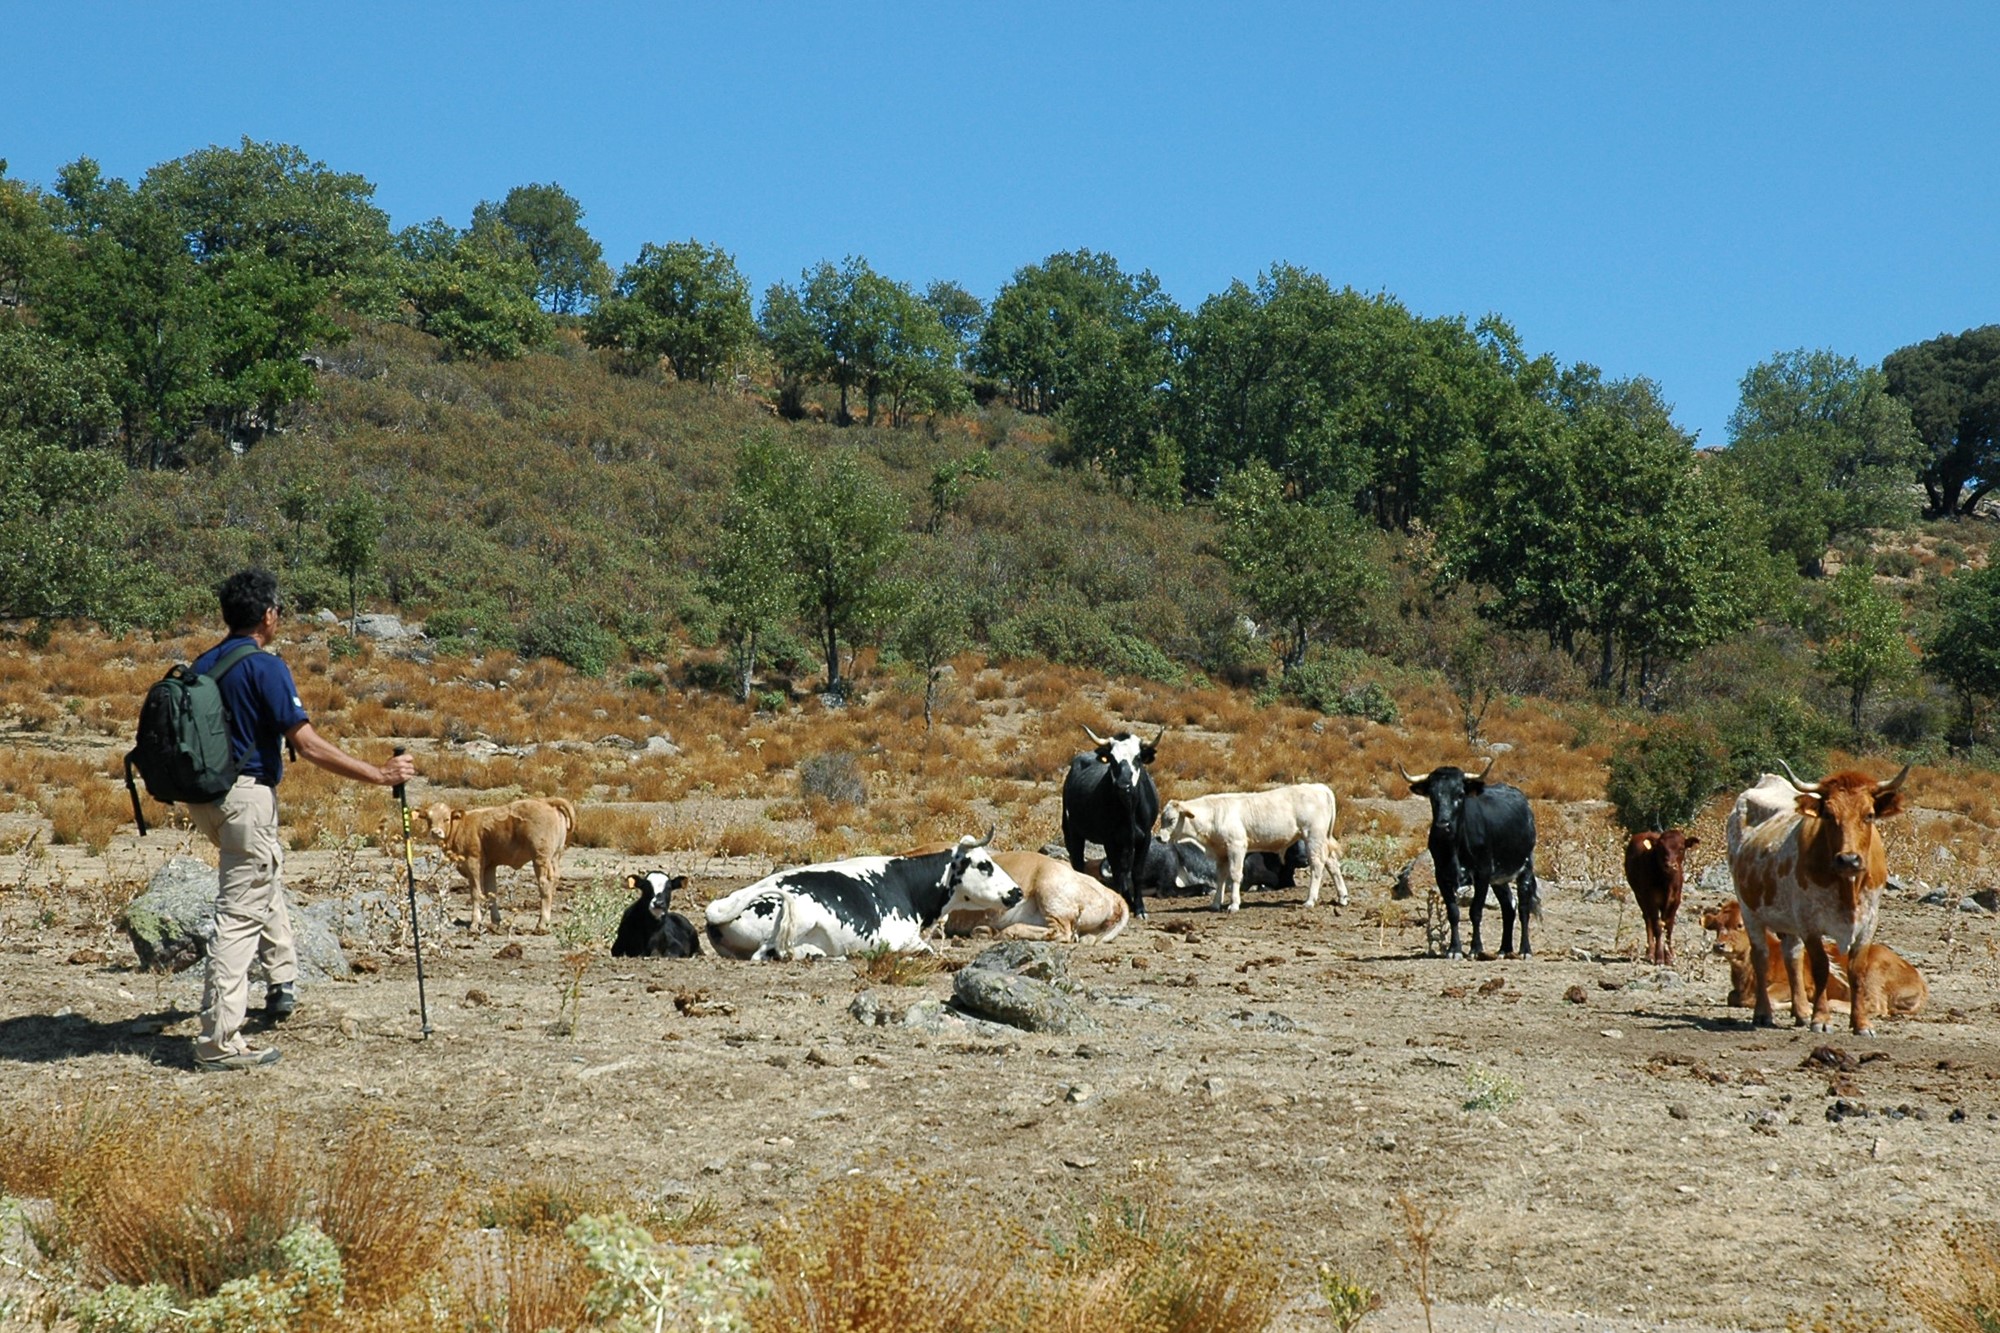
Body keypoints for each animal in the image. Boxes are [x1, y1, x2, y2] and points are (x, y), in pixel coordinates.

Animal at [704, 832, 1024, 956]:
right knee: (772, 952)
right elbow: (926, 951)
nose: (1017, 891)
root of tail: (720, 907)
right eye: (984, 865)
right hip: (797, 914)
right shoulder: (901, 939)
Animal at [1616, 824, 1696, 960]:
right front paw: (1659, 956)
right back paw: (1650, 952)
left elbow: (1668, 926)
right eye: (1660, 848)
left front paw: (1669, 955)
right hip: (1639, 896)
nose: (1670, 865)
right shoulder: (1650, 898)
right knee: (1648, 920)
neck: (1666, 881)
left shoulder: (1675, 900)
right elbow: (1658, 926)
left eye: (1681, 848)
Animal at [1728, 764, 1912, 1032]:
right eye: (1828, 814)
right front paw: (1821, 1019)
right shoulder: (1810, 923)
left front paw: (1861, 1023)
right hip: (1749, 910)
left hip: (1788, 920)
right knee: (1761, 957)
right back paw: (1763, 1013)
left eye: (1868, 815)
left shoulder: (1869, 921)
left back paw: (1801, 1012)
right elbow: (1821, 967)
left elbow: (1857, 970)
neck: (1847, 887)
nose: (1848, 859)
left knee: (1792, 956)